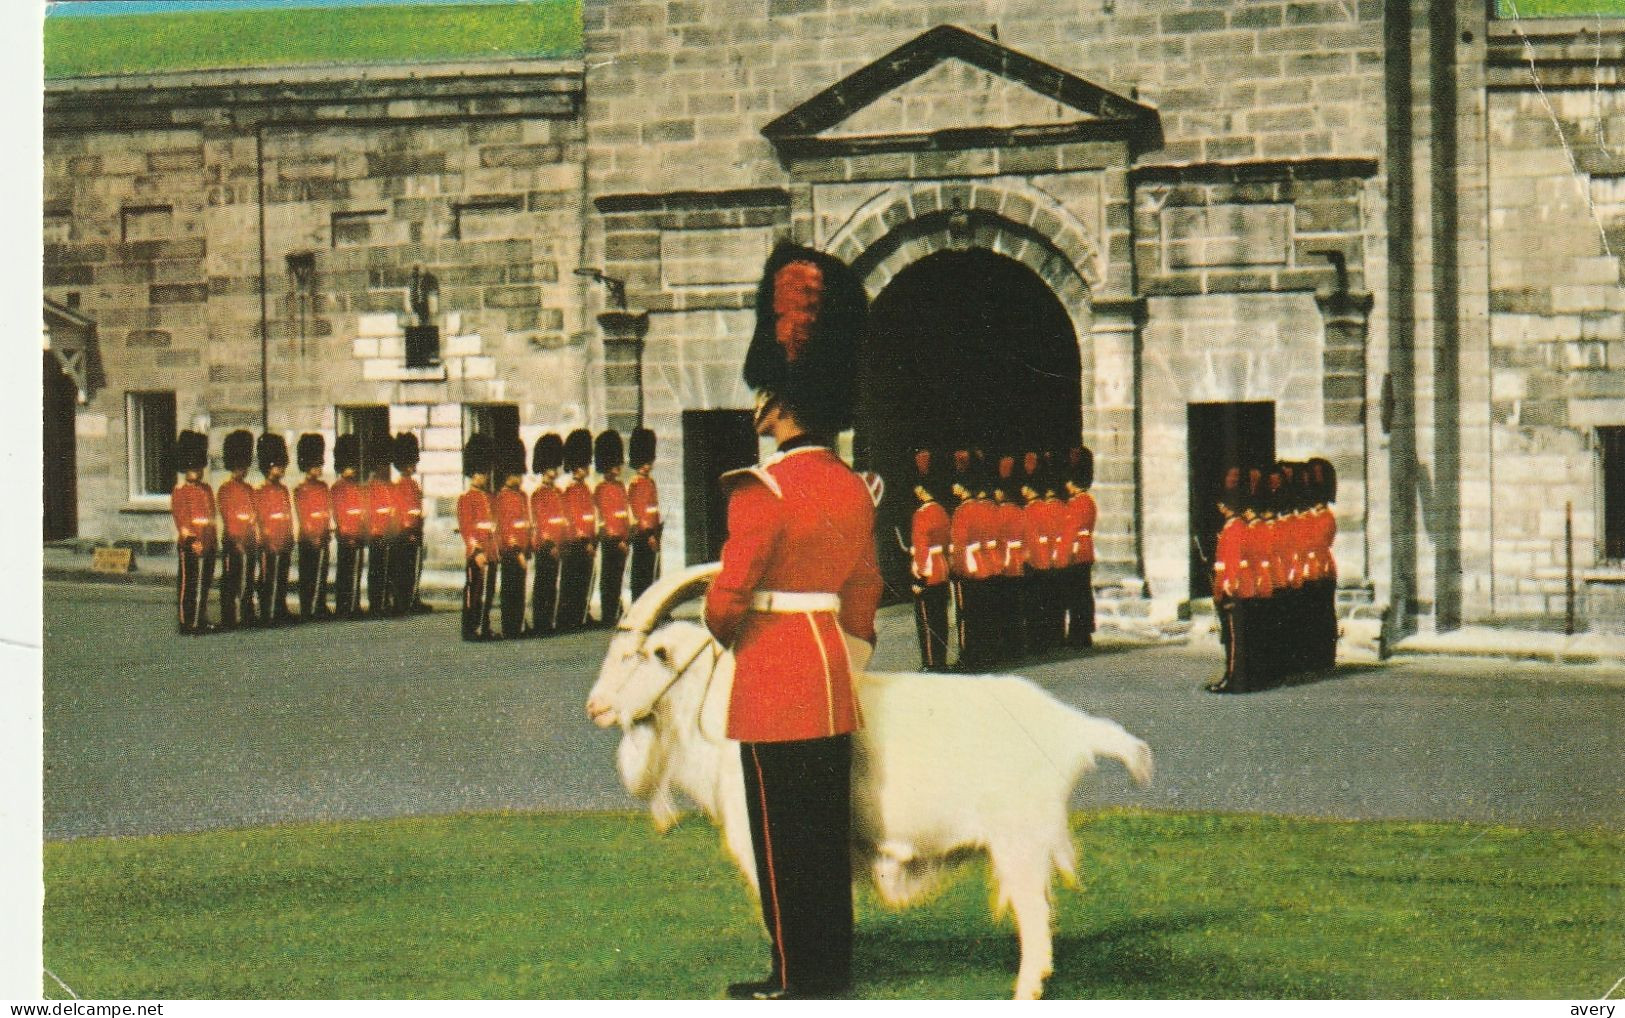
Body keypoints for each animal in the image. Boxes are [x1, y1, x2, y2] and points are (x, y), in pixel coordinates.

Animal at [588, 559, 1157, 995]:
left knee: (1035, 918)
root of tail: (1069, 727)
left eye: (639, 656)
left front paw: (780, 983)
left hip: (1020, 840)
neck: (722, 701)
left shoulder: (759, 835)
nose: (595, 707)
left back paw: (1025, 989)